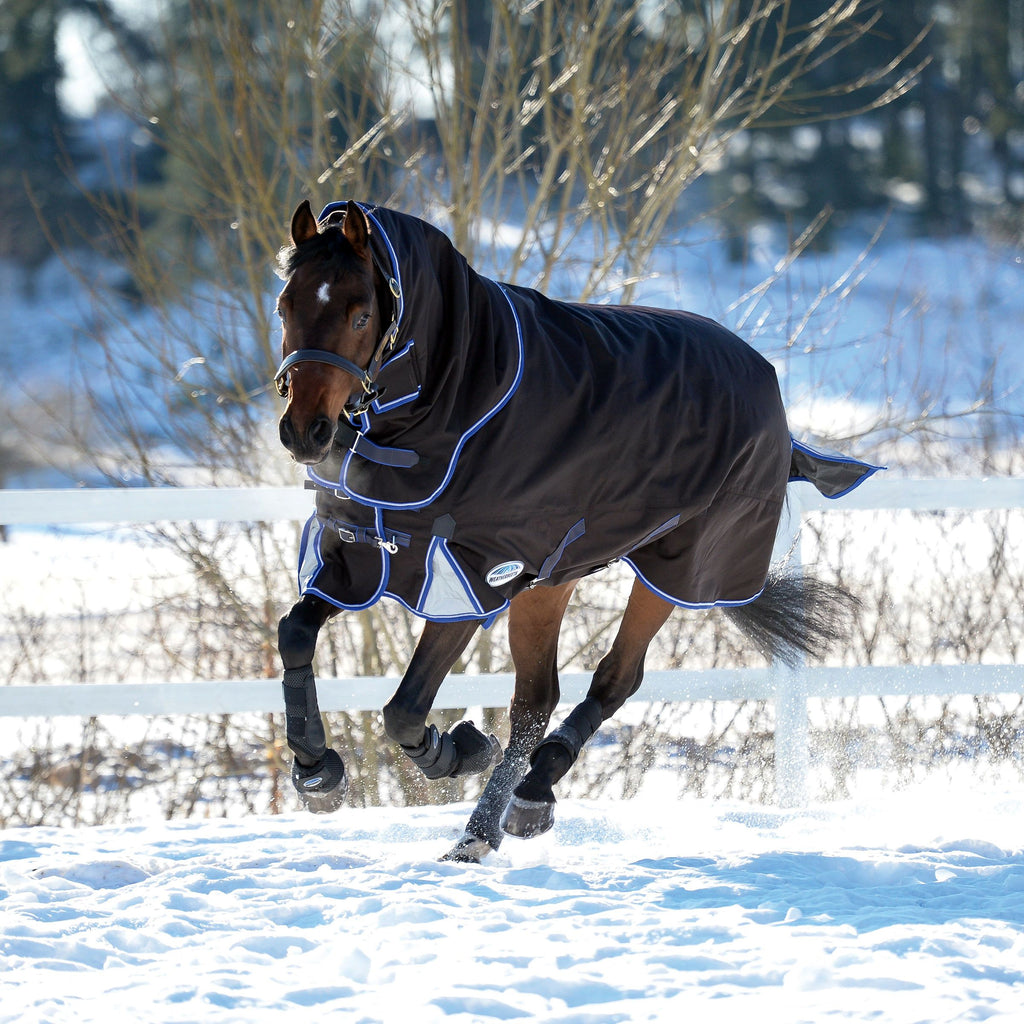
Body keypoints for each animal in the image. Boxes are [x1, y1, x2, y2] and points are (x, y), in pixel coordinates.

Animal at [272, 199, 877, 863]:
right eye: (285, 305)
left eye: (360, 314)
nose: (305, 431)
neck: (459, 393)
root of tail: (770, 387)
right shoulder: (357, 553)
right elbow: (295, 634)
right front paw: (318, 772)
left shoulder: (469, 575)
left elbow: (404, 710)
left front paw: (458, 751)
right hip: (552, 579)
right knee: (536, 701)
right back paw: (491, 825)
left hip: (676, 568)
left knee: (615, 678)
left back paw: (523, 800)